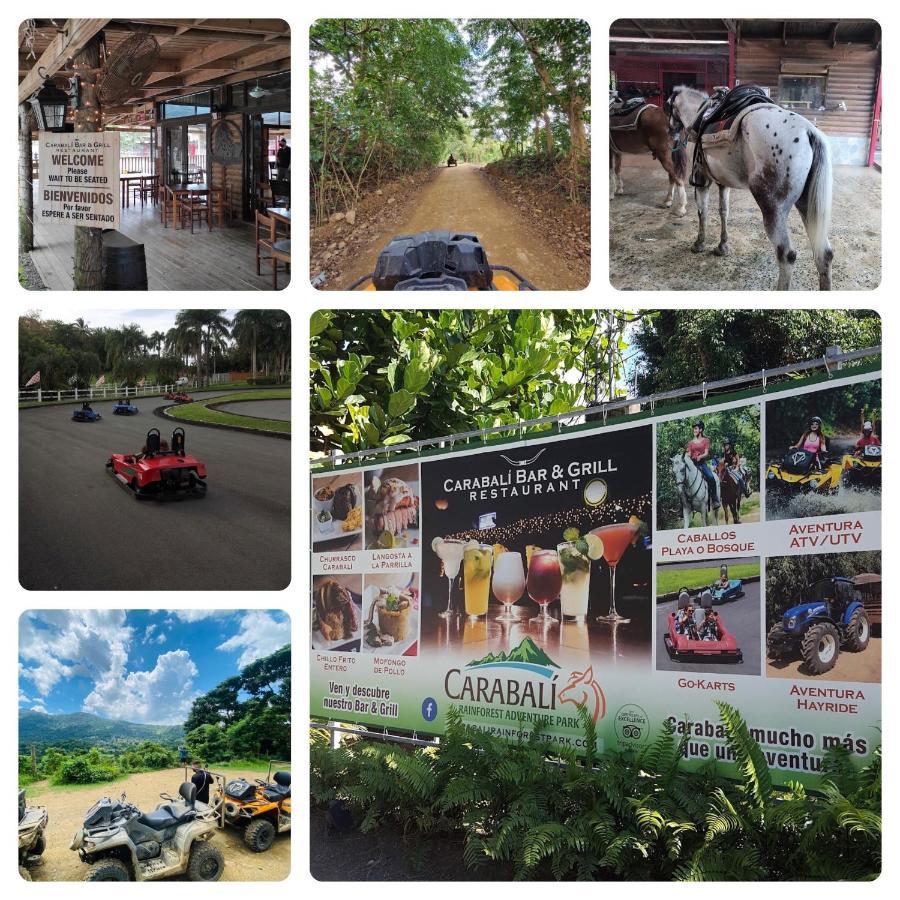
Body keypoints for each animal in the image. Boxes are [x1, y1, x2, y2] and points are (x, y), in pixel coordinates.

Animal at [672, 83, 832, 288]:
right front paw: (722, 246)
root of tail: (809, 132)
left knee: (787, 255)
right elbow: (723, 212)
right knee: (824, 254)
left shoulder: (702, 182)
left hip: (773, 210)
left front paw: (699, 244)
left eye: (669, 106)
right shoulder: (723, 183)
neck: (700, 116)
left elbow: (703, 212)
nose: (671, 131)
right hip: (808, 207)